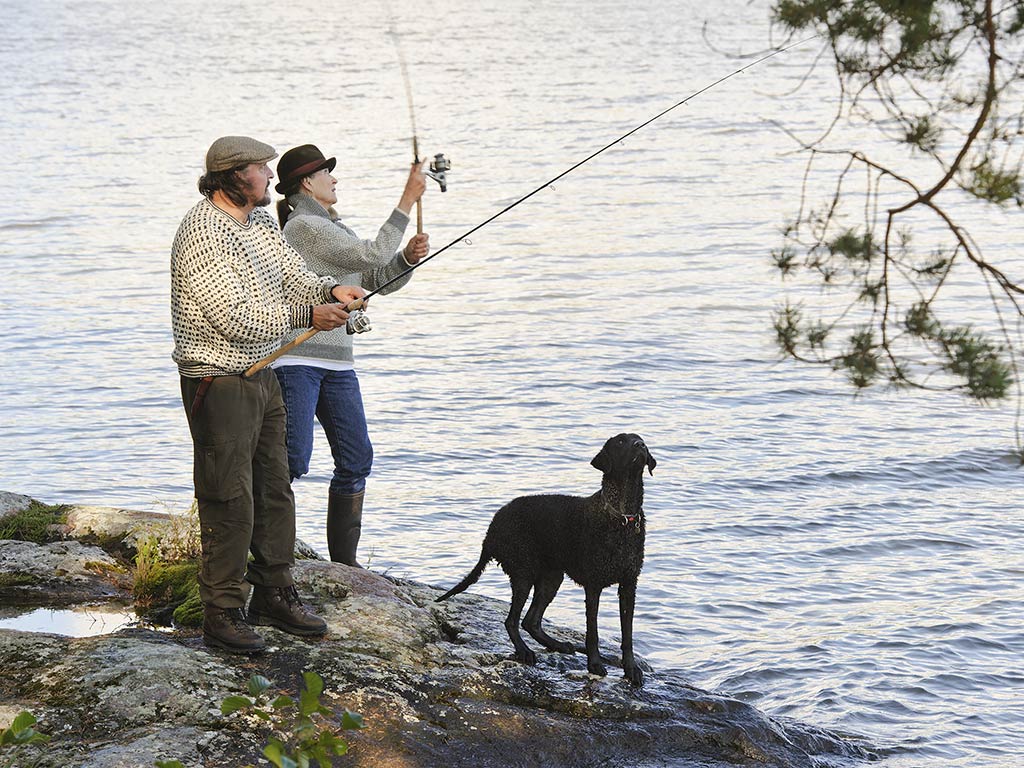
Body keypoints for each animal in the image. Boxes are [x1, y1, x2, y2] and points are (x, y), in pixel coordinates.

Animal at [436, 434, 651, 684]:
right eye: (621, 442)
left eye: (641, 440)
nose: (640, 446)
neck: (621, 516)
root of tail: (490, 531)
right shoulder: (593, 585)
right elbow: (593, 631)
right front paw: (595, 664)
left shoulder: (629, 585)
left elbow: (628, 634)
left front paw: (631, 669)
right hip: (523, 572)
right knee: (512, 621)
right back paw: (524, 651)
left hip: (551, 577)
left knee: (530, 621)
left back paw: (557, 645)